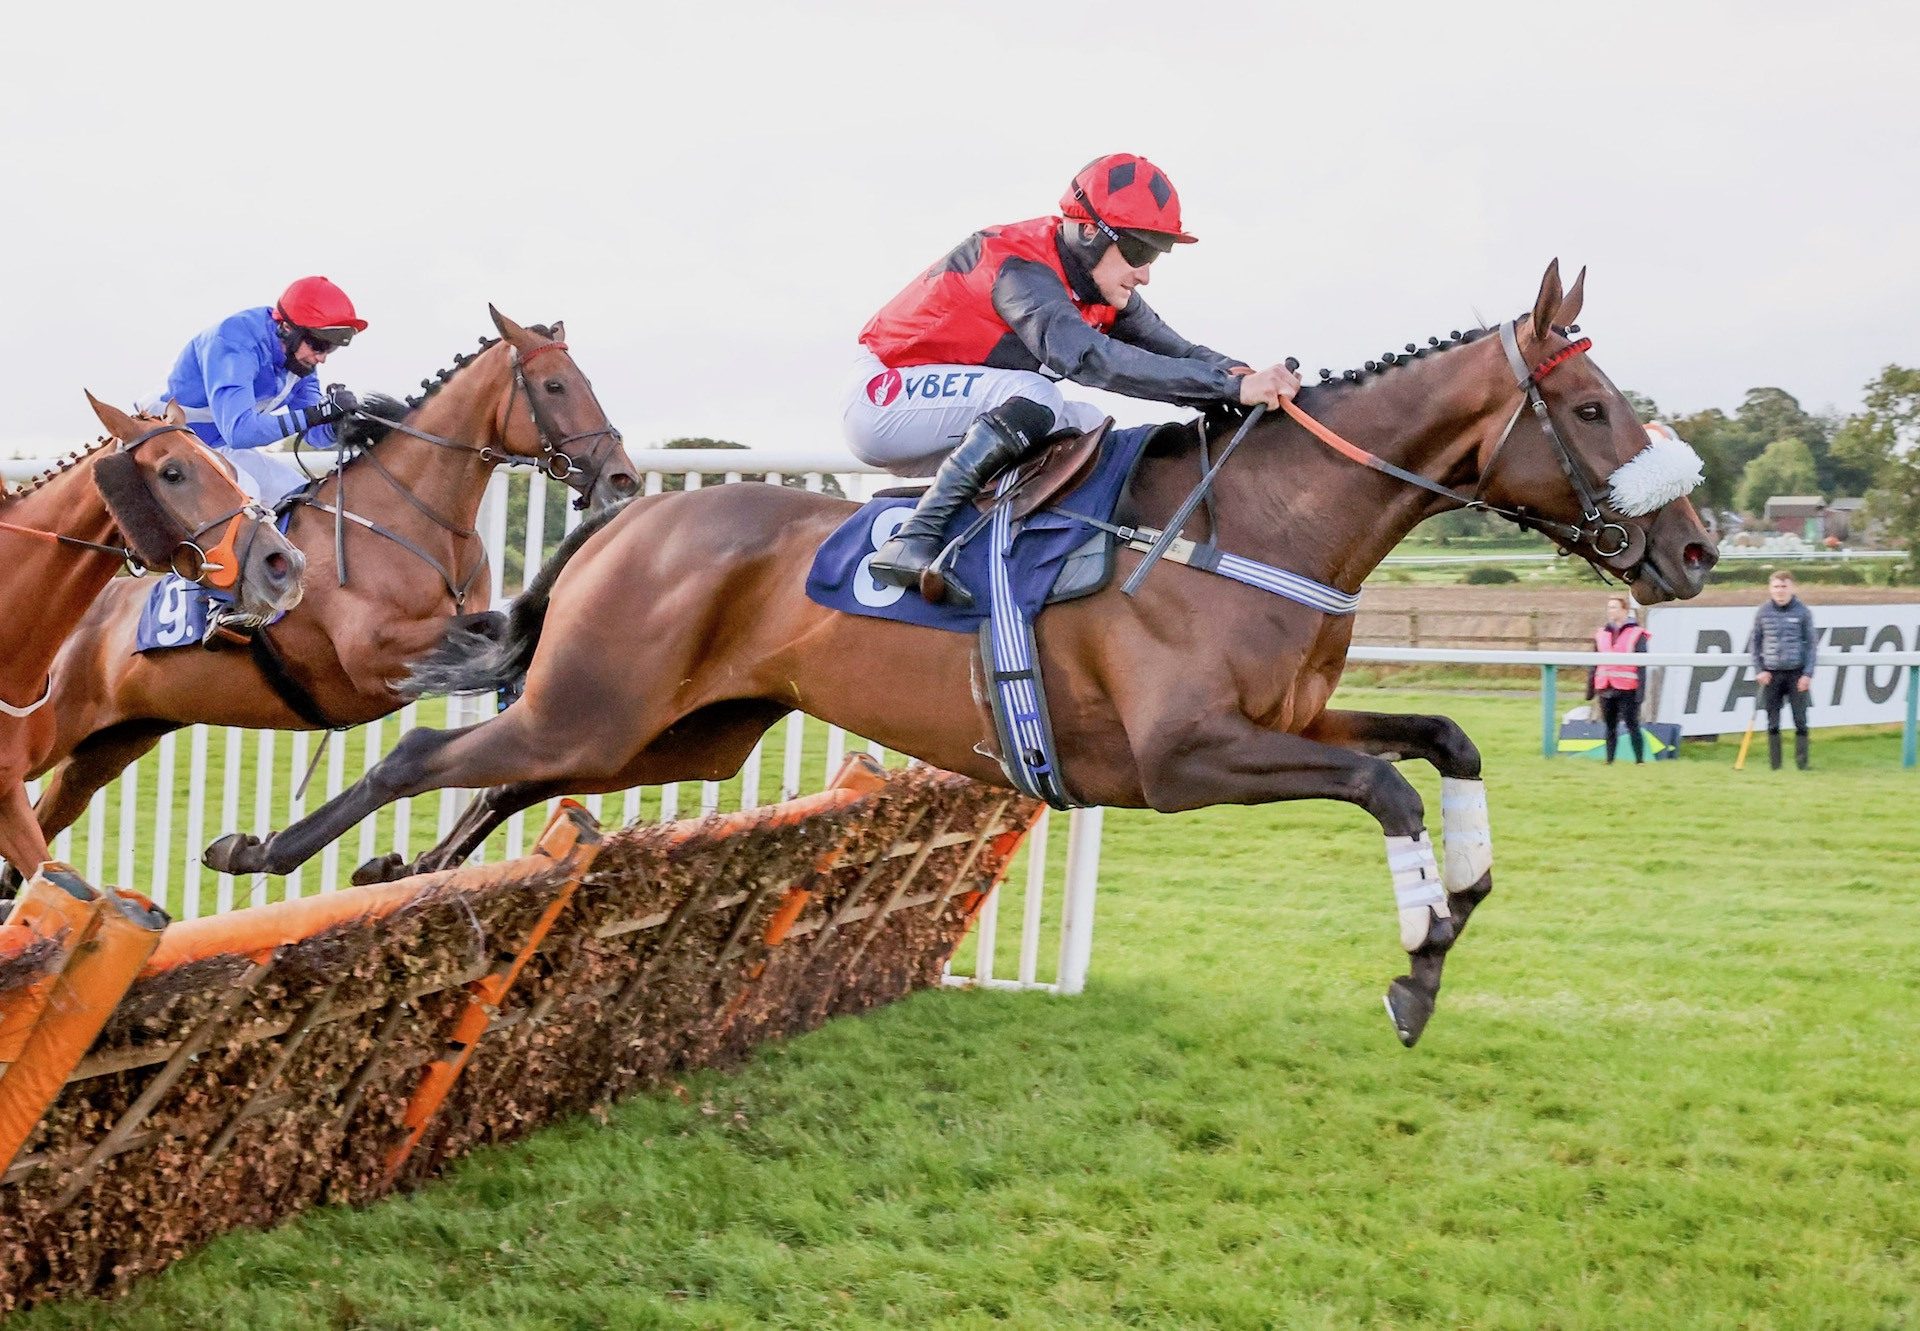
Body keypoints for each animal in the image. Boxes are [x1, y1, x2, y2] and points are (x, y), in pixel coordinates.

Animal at [202, 263, 1720, 1052]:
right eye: (1594, 405)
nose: (1699, 546)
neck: (1252, 523)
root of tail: (639, 510)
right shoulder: (1185, 759)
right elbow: (1389, 789)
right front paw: (1417, 956)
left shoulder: (1294, 719)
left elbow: (1441, 744)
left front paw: (1457, 905)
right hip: (604, 706)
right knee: (426, 746)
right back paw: (271, 855)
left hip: (664, 726)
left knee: (500, 780)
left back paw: (401, 874)